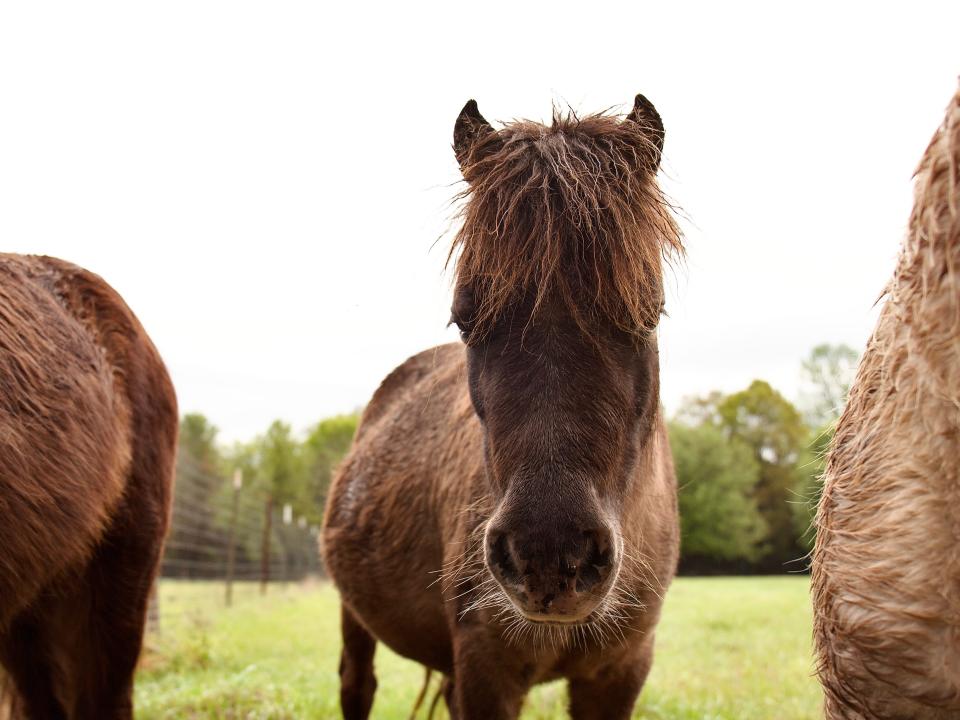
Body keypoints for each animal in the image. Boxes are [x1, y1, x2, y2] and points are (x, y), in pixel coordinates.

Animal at [322, 95, 684, 720]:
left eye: (647, 312)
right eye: (465, 317)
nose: (550, 555)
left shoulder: (620, 674)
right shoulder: (486, 669)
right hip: (356, 619)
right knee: (357, 684)